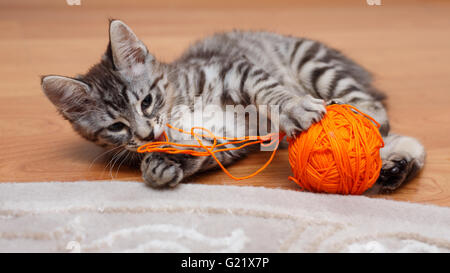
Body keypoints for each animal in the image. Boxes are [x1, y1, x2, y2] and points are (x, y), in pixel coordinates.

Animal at [40, 20, 424, 191]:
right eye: (116, 127)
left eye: (146, 101)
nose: (146, 133)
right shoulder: (225, 136)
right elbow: (198, 154)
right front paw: (158, 165)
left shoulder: (237, 71)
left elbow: (271, 94)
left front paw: (294, 108)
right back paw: (395, 167)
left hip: (314, 64)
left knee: (373, 114)